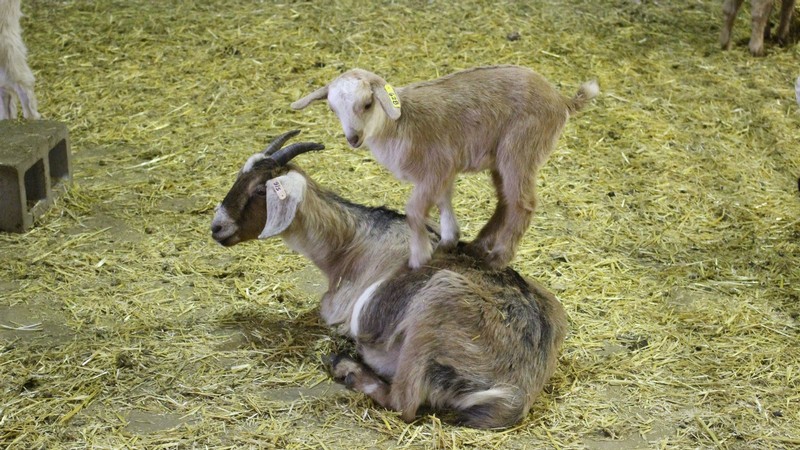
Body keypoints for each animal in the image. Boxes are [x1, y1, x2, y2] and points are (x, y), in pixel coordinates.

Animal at [210, 130, 568, 429]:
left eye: (261, 190)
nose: (217, 227)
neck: (353, 243)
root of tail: (517, 387)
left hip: (434, 304)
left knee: (403, 403)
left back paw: (345, 367)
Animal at [291, 66, 598, 270]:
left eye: (367, 103)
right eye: (333, 108)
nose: (353, 138)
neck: (399, 124)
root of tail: (561, 100)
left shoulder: (435, 168)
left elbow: (415, 211)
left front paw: (419, 257)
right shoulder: (444, 171)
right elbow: (444, 200)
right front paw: (449, 240)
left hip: (520, 149)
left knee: (523, 204)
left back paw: (498, 257)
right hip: (502, 158)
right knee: (506, 201)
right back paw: (478, 245)